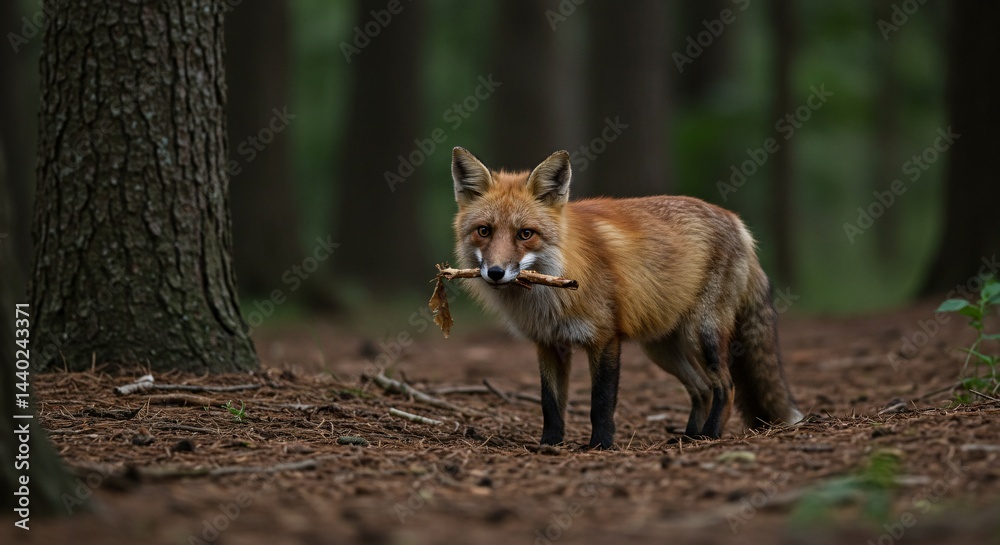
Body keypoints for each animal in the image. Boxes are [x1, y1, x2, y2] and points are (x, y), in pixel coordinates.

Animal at [451, 147, 803, 449]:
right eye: (484, 231)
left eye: (525, 234)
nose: (495, 272)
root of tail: (736, 221)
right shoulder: (548, 343)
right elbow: (550, 404)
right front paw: (549, 445)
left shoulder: (605, 337)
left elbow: (601, 402)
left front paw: (600, 445)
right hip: (662, 349)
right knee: (702, 389)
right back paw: (689, 437)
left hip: (702, 335)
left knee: (724, 387)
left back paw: (710, 436)